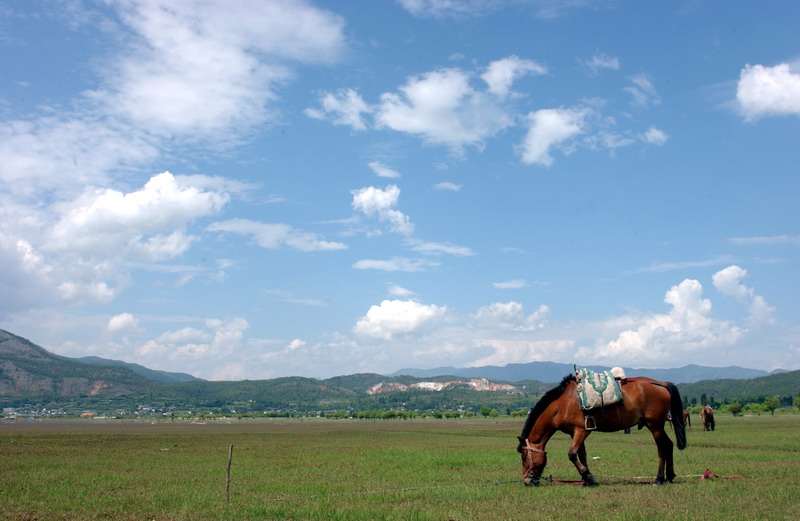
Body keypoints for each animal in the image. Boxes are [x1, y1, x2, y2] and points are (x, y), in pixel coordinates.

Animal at [520, 372, 688, 486]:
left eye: (524, 456)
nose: (526, 480)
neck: (563, 403)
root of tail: (661, 383)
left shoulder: (582, 430)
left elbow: (572, 454)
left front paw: (587, 476)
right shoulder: (574, 432)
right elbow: (582, 455)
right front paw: (587, 479)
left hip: (654, 425)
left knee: (662, 448)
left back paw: (659, 479)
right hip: (656, 426)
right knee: (669, 445)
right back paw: (669, 476)